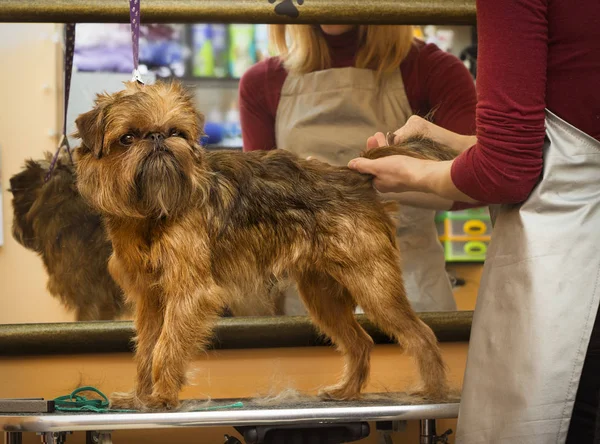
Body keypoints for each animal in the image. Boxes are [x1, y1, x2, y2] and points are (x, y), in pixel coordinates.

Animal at [74, 80, 454, 410]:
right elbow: (146, 349)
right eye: (127, 138)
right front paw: (139, 396)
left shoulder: (189, 293)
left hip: (373, 285)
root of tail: (352, 175)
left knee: (421, 334)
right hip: (322, 295)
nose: (157, 137)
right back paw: (347, 391)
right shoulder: (151, 299)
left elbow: (167, 346)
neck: (152, 212)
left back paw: (434, 390)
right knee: (361, 341)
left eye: (176, 133)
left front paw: (162, 396)